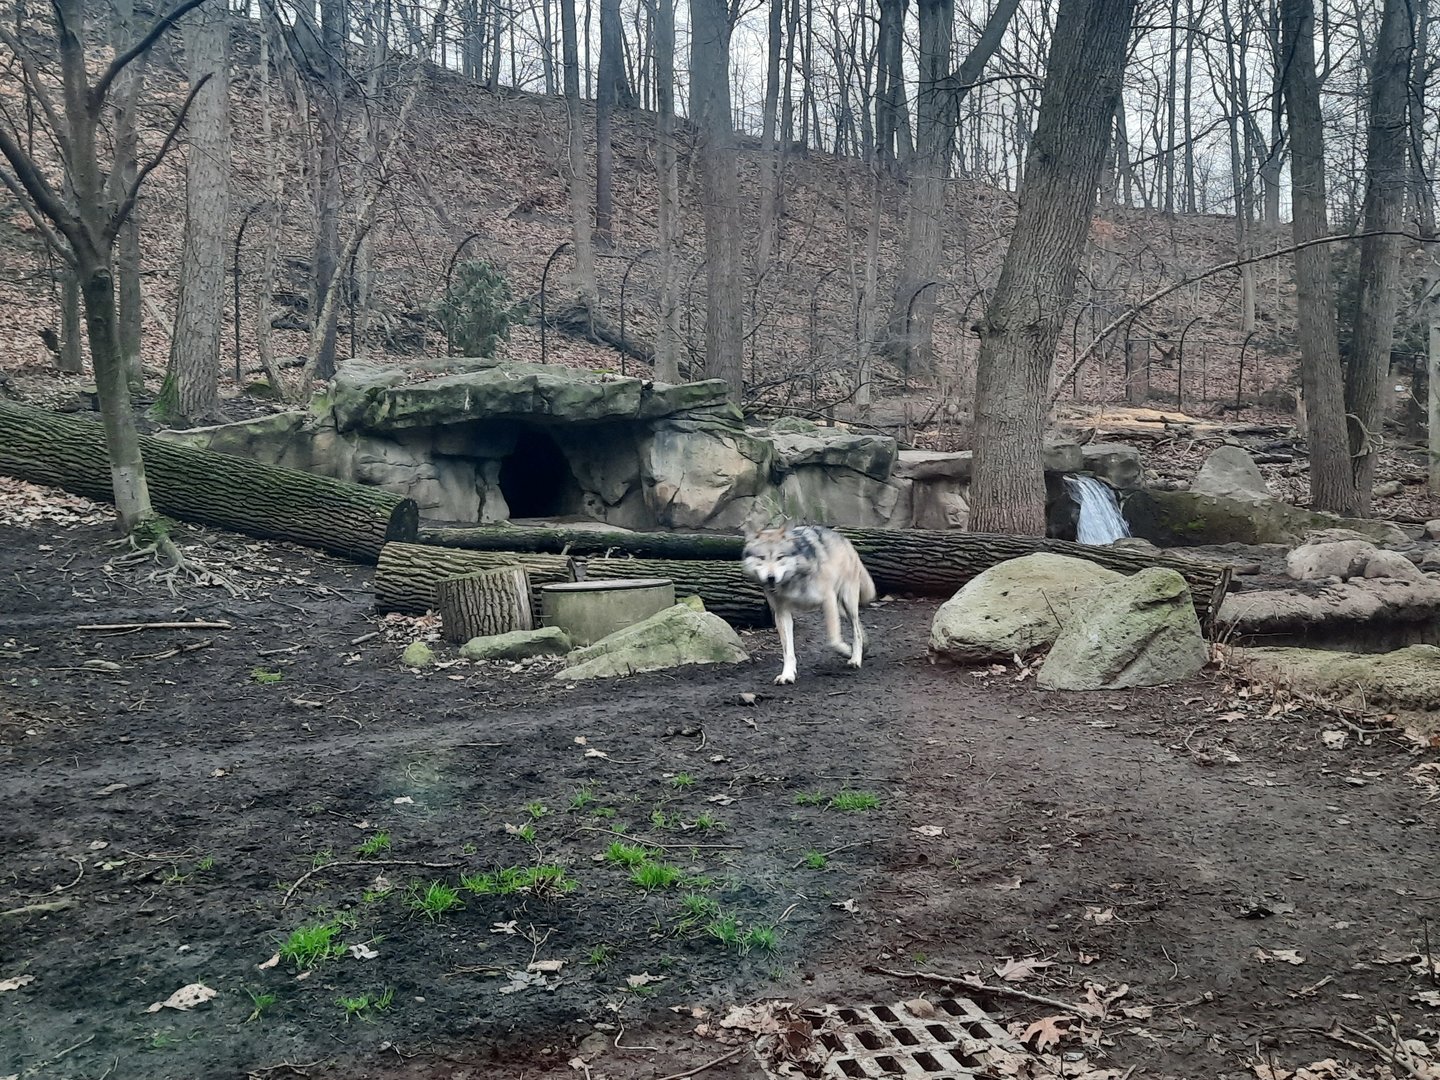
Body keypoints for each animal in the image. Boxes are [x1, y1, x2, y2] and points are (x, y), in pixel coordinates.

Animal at [740, 523, 877, 685]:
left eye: (780, 557)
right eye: (761, 558)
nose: (771, 577)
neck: (793, 579)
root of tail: (844, 539)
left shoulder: (828, 600)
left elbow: (833, 641)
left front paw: (846, 651)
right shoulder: (781, 612)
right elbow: (788, 651)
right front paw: (787, 675)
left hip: (847, 602)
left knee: (856, 630)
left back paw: (855, 658)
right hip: (841, 608)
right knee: (858, 627)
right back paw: (864, 647)